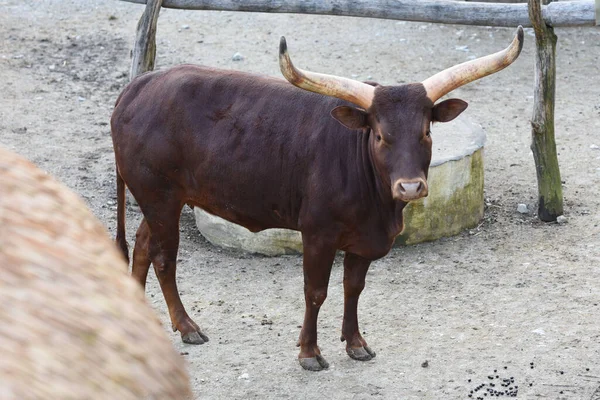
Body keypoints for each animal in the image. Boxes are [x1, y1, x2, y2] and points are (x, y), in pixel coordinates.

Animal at [110, 27, 524, 372]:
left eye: (426, 131)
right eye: (380, 136)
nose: (410, 187)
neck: (378, 204)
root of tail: (140, 84)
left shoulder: (363, 239)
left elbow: (353, 288)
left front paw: (356, 344)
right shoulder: (317, 234)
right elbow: (316, 291)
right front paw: (309, 352)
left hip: (165, 199)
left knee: (144, 245)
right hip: (159, 196)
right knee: (164, 258)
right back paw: (187, 327)